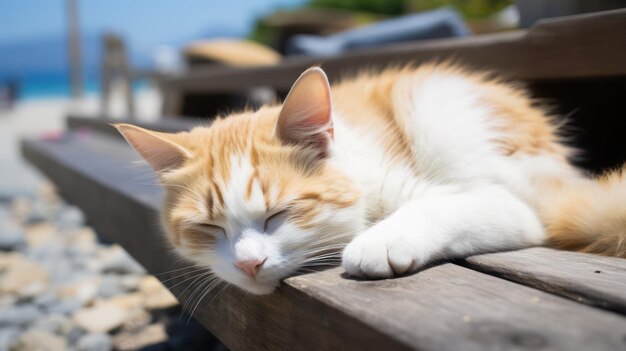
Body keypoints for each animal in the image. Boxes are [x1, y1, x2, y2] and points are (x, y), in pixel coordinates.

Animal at [113, 64, 624, 296]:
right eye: (209, 229)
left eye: (279, 215)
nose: (249, 265)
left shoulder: (511, 209)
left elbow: (439, 206)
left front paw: (381, 240)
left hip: (440, 111)